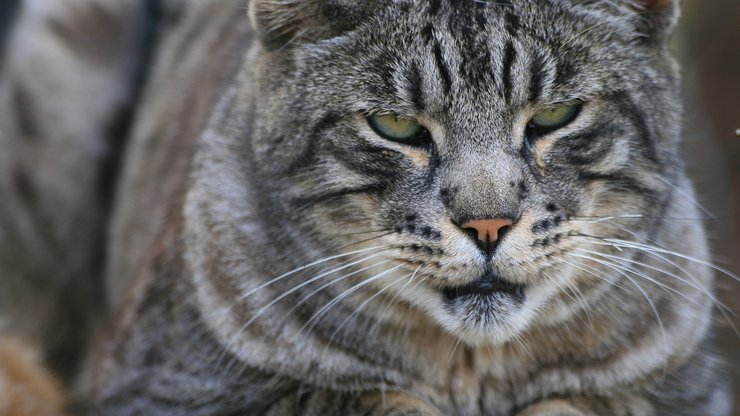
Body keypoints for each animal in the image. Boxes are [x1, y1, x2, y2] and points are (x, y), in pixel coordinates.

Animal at [0, 0, 732, 414]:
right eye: (396, 126)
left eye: (555, 115)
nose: (487, 223)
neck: (470, 370)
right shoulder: (165, 382)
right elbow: (357, 400)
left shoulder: (685, 390)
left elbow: (585, 404)